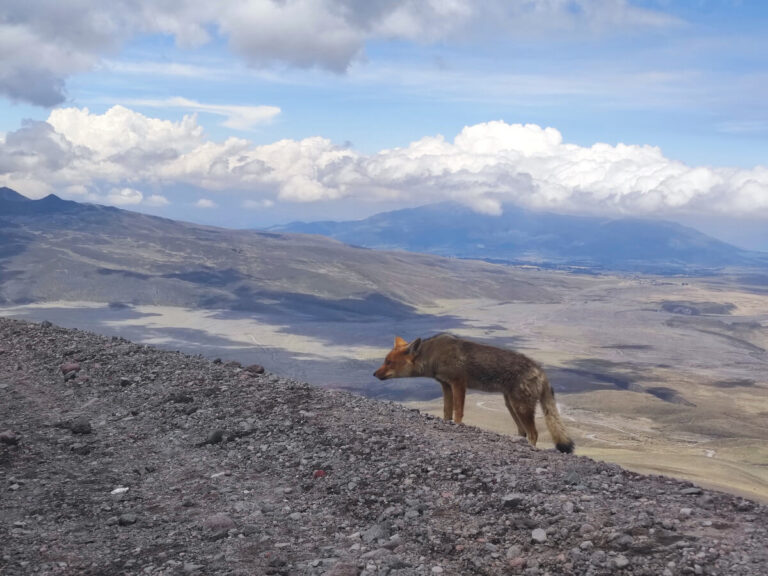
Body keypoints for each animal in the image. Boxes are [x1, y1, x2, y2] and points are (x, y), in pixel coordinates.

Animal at [376, 332, 572, 454]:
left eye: (389, 362)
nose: (374, 374)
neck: (434, 355)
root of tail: (541, 371)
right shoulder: (446, 385)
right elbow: (447, 411)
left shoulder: (459, 383)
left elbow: (458, 413)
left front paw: (457, 425)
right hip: (511, 405)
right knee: (523, 432)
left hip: (520, 407)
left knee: (534, 433)